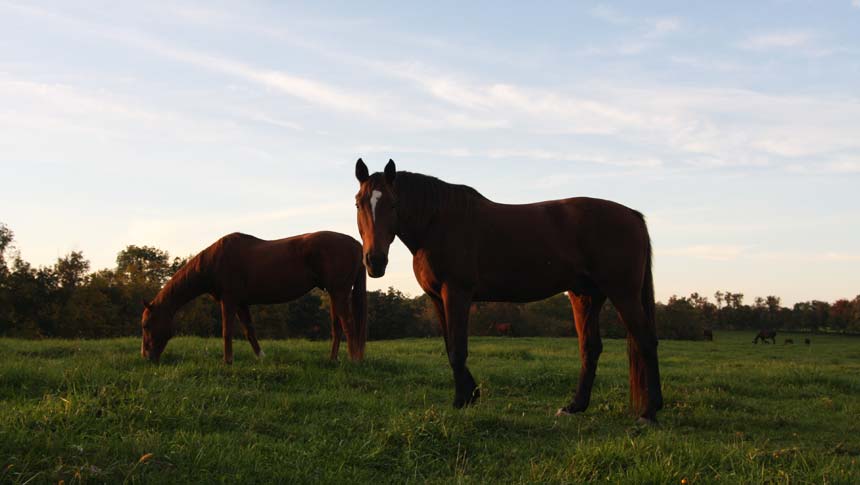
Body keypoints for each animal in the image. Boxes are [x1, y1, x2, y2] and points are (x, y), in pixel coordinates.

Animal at [140, 232, 366, 364]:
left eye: (146, 325)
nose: (146, 357)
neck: (215, 261)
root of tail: (357, 244)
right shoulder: (241, 304)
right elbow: (249, 331)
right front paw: (260, 357)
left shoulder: (229, 301)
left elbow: (227, 332)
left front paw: (227, 362)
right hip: (334, 294)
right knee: (338, 328)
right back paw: (333, 360)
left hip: (339, 292)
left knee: (348, 324)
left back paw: (353, 360)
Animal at [352, 159, 660, 420]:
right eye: (358, 203)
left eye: (393, 204)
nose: (375, 261)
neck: (437, 223)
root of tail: (632, 215)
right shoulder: (436, 298)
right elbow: (450, 346)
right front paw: (471, 394)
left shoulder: (457, 293)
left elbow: (458, 349)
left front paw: (462, 400)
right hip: (586, 296)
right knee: (591, 347)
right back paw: (575, 407)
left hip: (623, 293)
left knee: (645, 340)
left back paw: (650, 411)